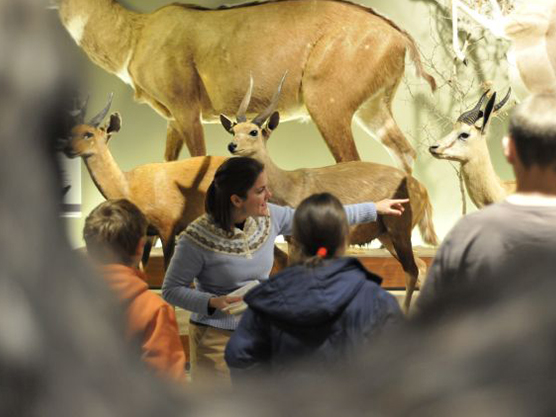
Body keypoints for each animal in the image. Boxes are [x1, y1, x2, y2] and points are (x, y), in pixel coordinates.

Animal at [57, 0, 438, 172]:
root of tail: (400, 37)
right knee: (404, 152)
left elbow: (198, 159)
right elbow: (167, 162)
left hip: (326, 103)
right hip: (373, 108)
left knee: (352, 160)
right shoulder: (172, 118)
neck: (135, 36)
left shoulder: (186, 107)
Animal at [57, 95, 227, 266]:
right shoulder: (148, 233)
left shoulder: (167, 226)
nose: (67, 149)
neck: (129, 186)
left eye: (88, 134)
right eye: (71, 133)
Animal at [222, 79, 438, 312]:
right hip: (385, 235)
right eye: (233, 129)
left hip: (399, 229)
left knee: (412, 269)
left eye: (254, 131)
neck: (290, 185)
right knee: (420, 266)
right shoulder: (293, 241)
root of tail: (423, 190)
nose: (232, 145)